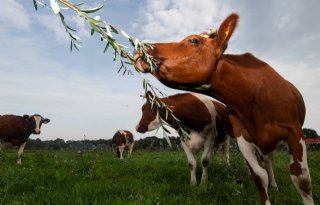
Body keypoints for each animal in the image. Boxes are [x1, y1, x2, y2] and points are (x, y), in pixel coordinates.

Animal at [134, 13, 314, 205]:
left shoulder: (294, 132)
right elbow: (258, 177)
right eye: (141, 109)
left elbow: (302, 180)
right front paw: (194, 184)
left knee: (266, 160)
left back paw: (274, 185)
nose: (140, 46)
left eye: (194, 40)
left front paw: (203, 184)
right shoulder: (238, 136)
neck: (252, 96)